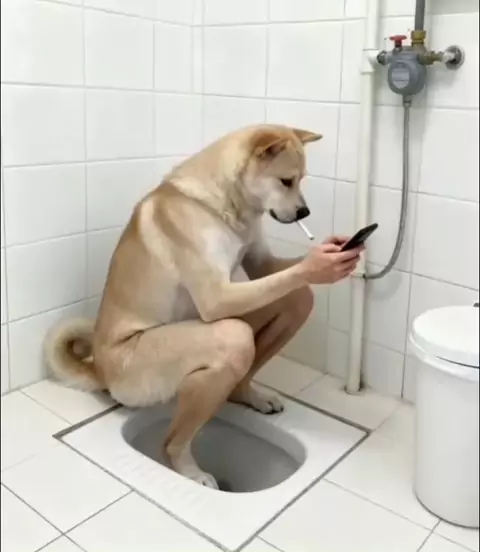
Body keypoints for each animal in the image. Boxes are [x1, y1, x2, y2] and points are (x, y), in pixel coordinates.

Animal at [45, 125, 361, 489]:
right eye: (286, 181)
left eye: (302, 180)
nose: (304, 214)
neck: (223, 203)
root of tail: (101, 371)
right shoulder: (217, 296)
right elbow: (230, 296)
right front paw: (319, 265)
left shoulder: (259, 261)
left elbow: (271, 269)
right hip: (160, 363)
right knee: (190, 412)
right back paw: (189, 471)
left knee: (296, 298)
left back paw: (246, 395)